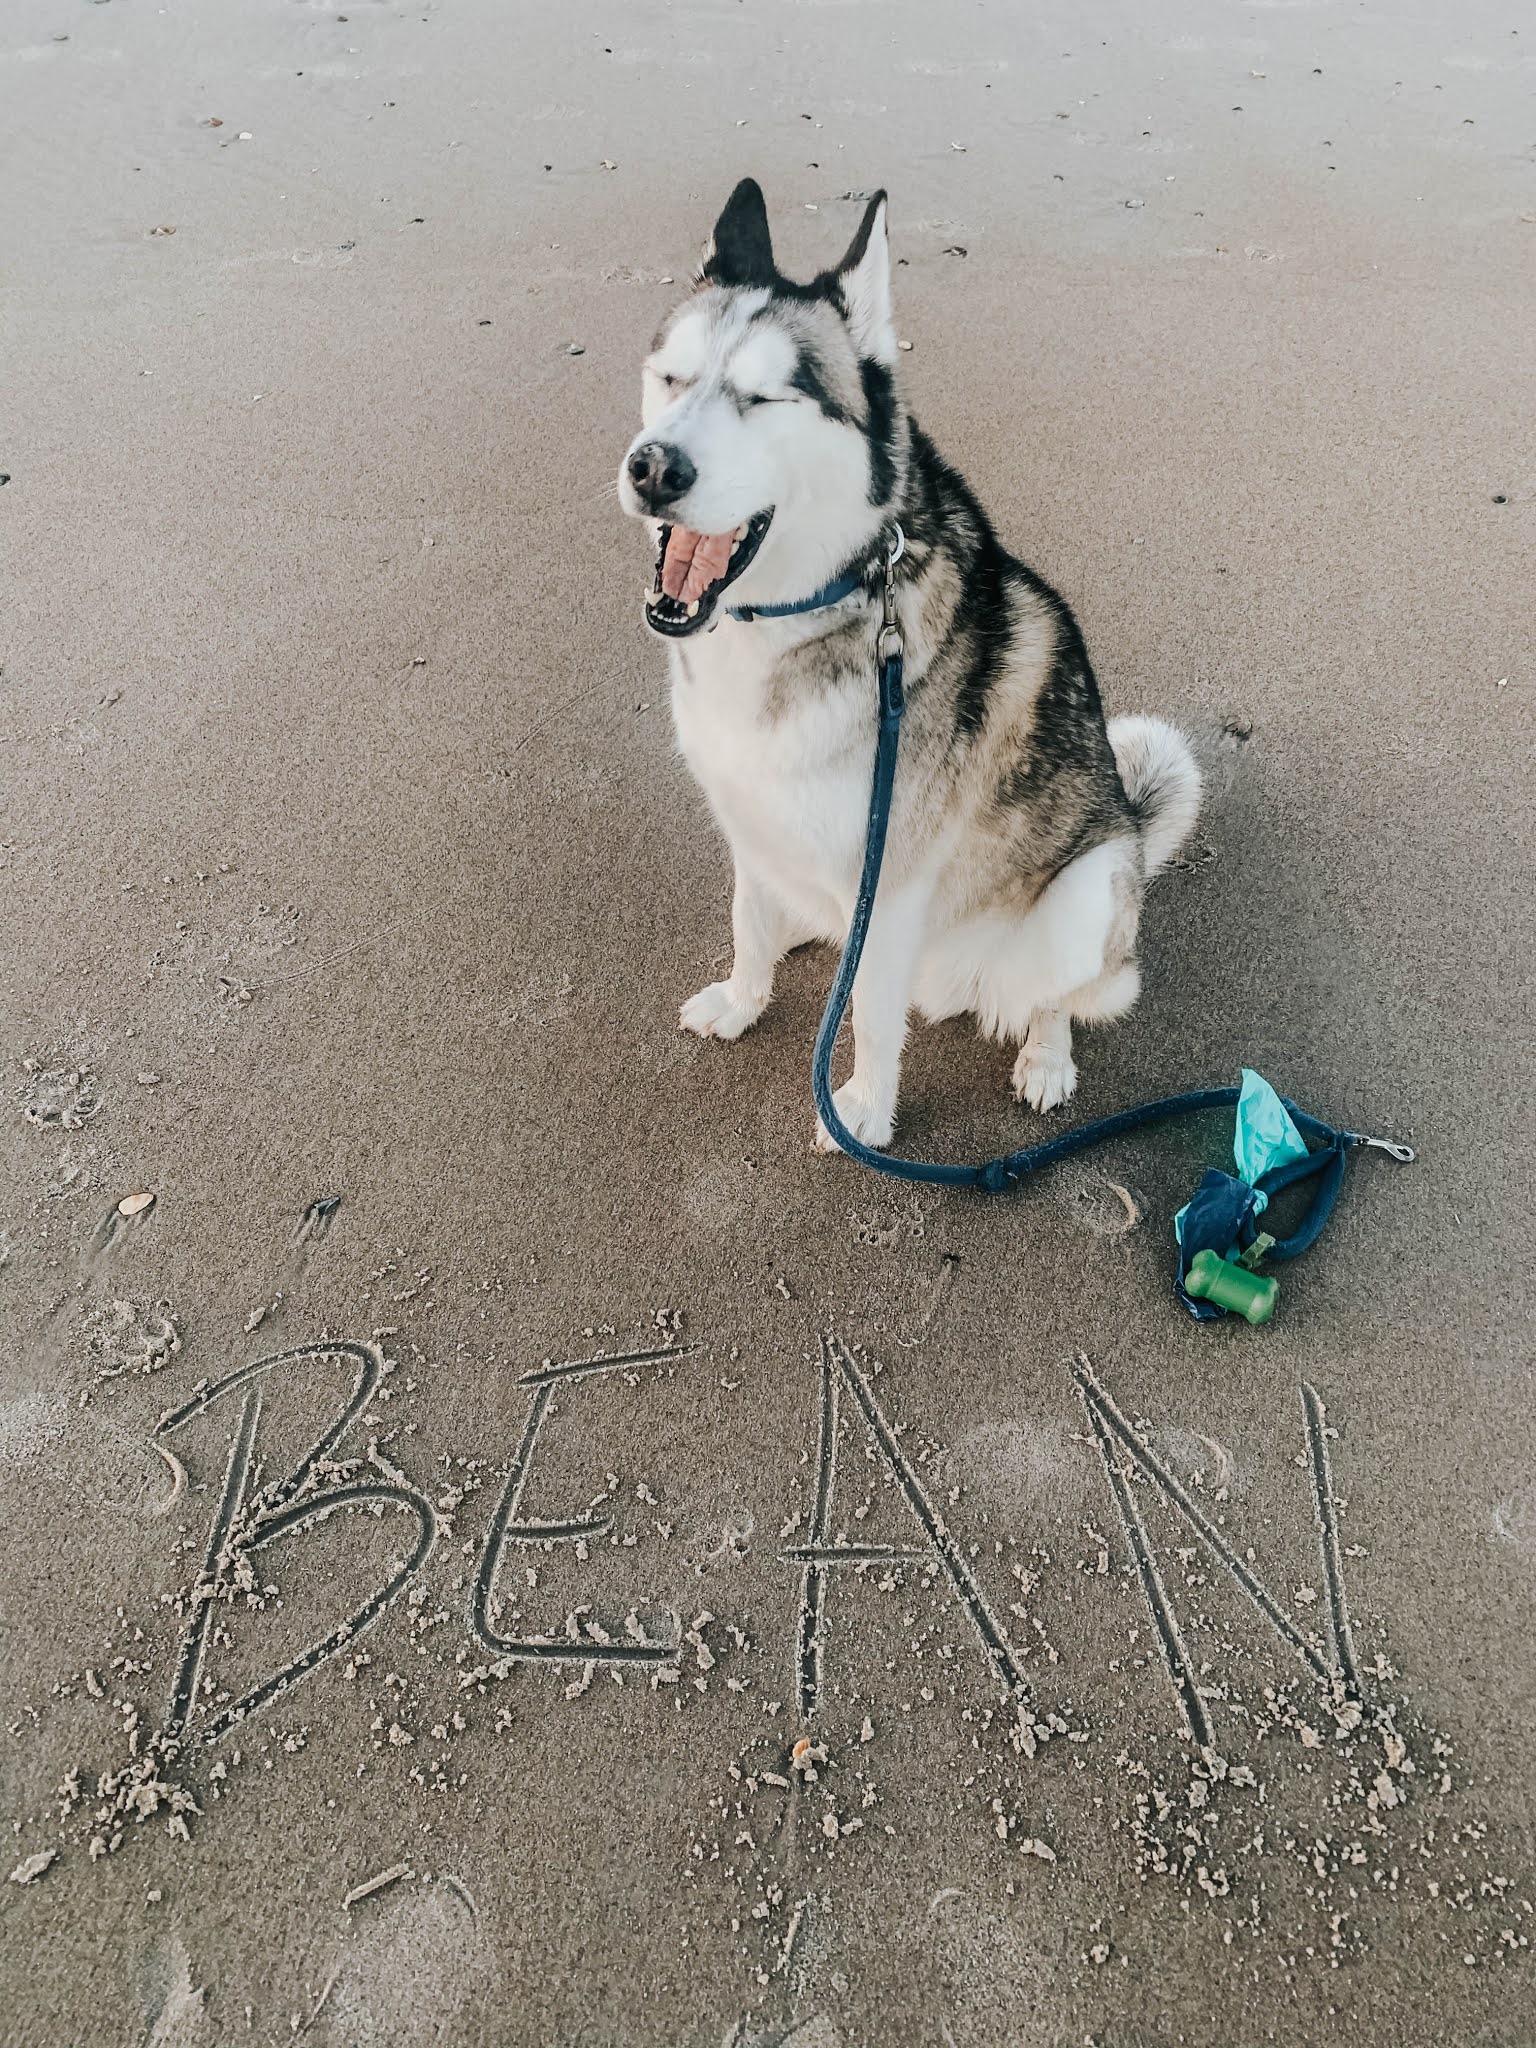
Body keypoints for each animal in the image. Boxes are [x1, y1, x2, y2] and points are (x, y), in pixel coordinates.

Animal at [618, 176, 1212, 1155]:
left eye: (764, 398)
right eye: (670, 377)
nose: (654, 467)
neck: (805, 609)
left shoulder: (891, 883)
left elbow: (867, 1012)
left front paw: (860, 1108)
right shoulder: (747, 819)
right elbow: (748, 922)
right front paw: (745, 998)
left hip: (1089, 894)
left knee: (1055, 996)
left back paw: (1045, 1056)